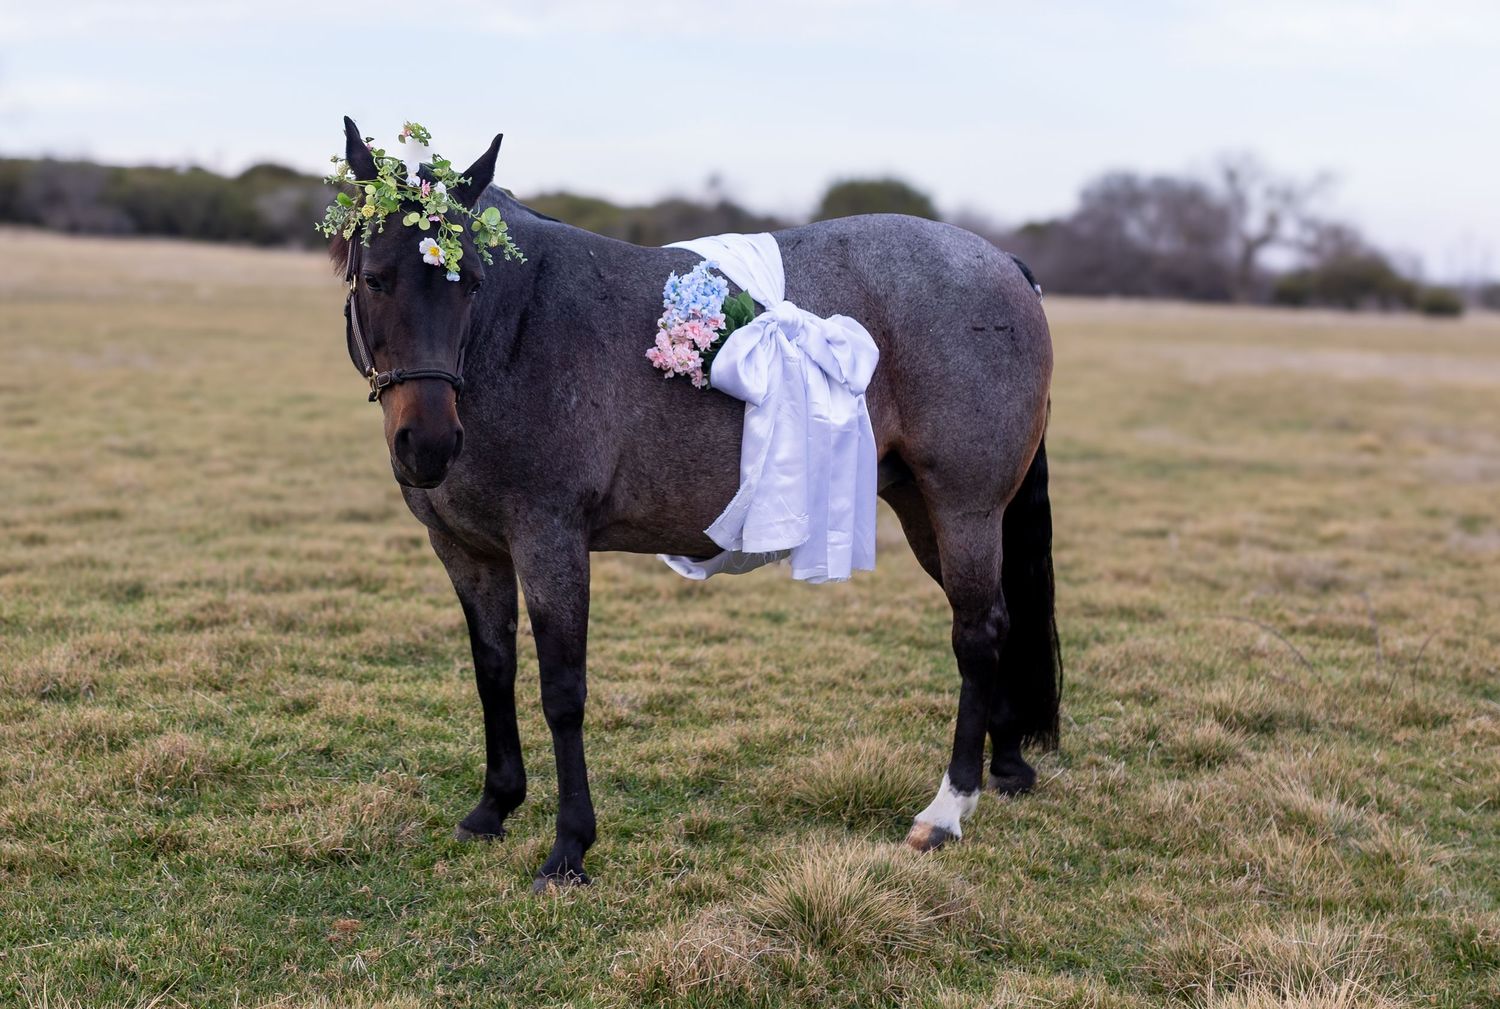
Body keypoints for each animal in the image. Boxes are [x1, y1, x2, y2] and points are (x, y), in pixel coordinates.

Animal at [328, 118, 1060, 890]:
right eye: (375, 279)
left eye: (468, 283)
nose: (428, 444)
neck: (517, 329)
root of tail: (1001, 264)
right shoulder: (469, 553)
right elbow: (493, 671)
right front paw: (494, 806)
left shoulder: (550, 541)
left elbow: (563, 690)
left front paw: (569, 848)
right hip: (927, 510)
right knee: (998, 622)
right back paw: (1005, 769)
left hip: (963, 509)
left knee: (977, 634)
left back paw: (947, 810)